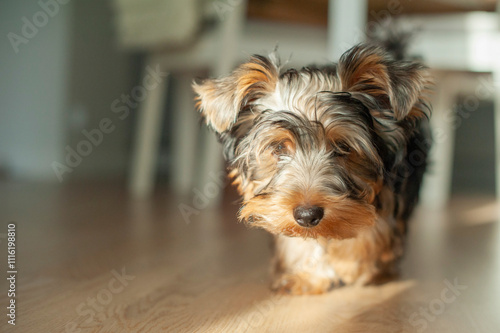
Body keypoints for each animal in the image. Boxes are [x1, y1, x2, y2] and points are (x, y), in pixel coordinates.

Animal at [193, 41, 432, 294]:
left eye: (343, 147)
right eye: (278, 147)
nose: (307, 215)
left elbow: (374, 228)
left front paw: (352, 264)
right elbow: (297, 238)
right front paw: (308, 275)